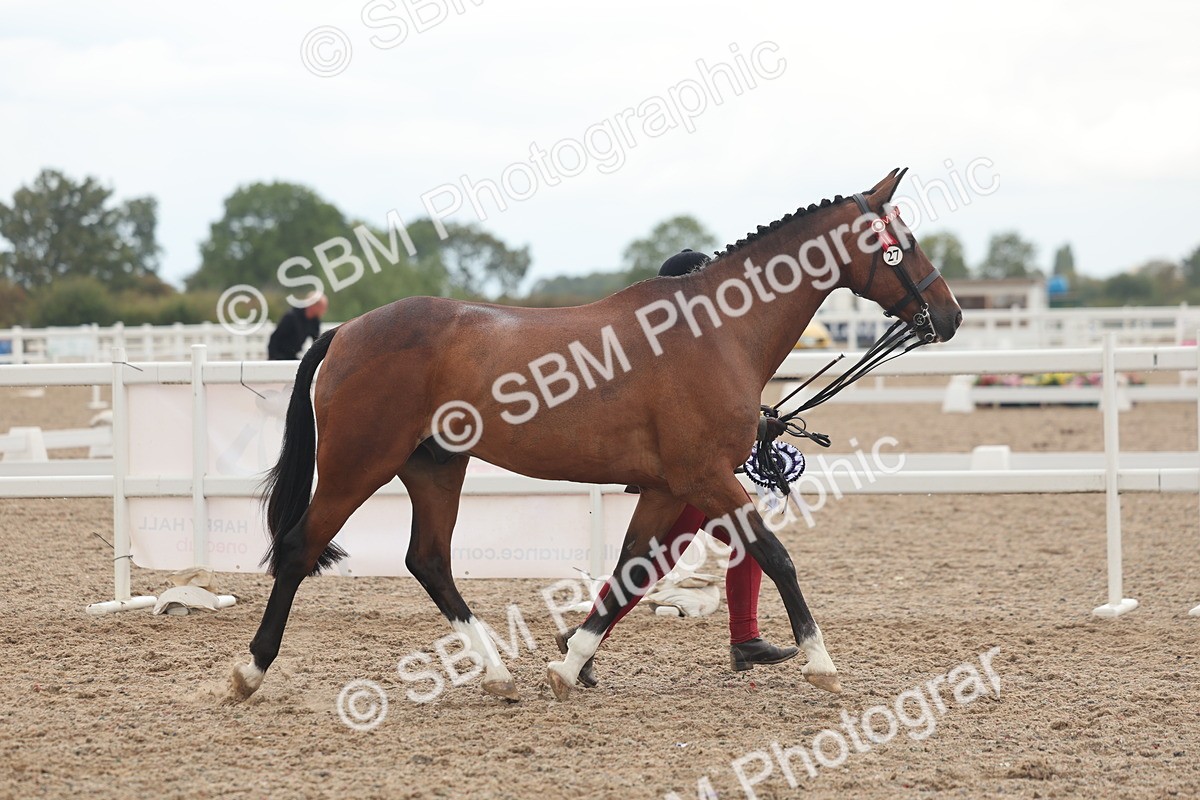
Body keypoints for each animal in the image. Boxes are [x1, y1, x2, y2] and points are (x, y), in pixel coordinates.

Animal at [229, 168, 962, 703]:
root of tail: (346, 331)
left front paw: (569, 664)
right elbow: (776, 556)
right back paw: (250, 671)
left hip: (434, 467)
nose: (949, 314)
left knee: (429, 561)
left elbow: (632, 567)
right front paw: (820, 662)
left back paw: (498, 674)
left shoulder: (670, 489)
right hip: (358, 466)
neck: (717, 332)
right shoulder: (706, 478)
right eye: (902, 239)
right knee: (299, 548)